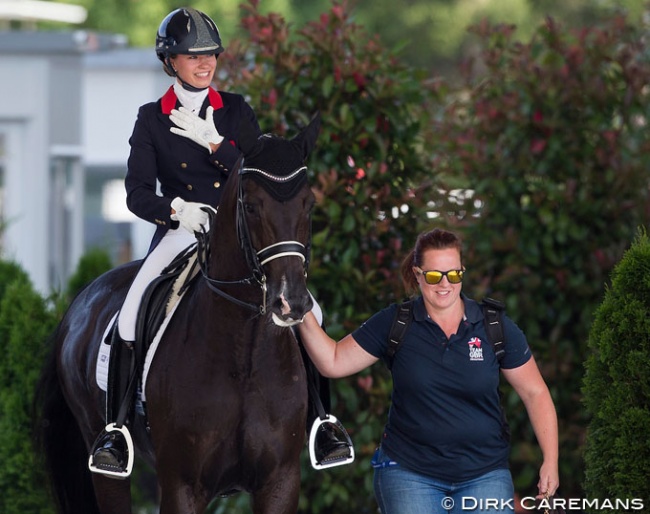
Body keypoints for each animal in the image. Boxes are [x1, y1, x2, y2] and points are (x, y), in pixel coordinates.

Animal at [35, 116, 324, 512]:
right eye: (251, 206)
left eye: (309, 205)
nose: (290, 301)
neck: (245, 354)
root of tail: (82, 301)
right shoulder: (181, 484)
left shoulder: (280, 482)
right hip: (106, 463)